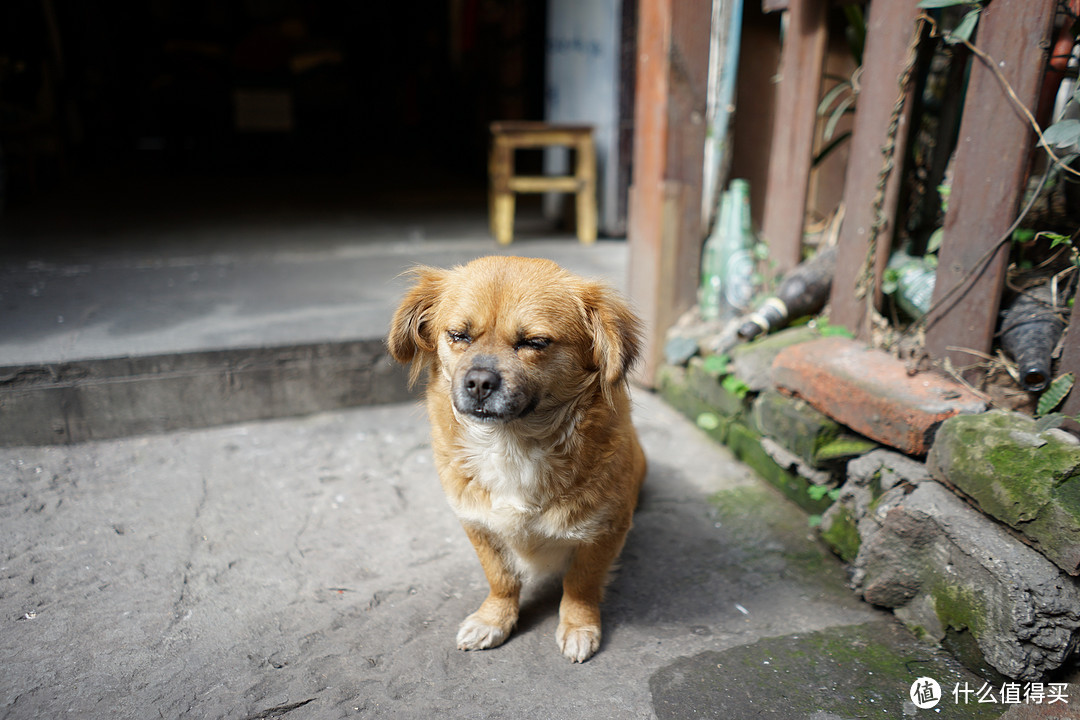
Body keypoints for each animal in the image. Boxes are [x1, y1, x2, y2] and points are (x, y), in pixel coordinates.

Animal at [386, 254, 643, 664]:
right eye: (458, 335)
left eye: (534, 342)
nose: (478, 382)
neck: (511, 444)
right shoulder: (477, 523)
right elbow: (501, 577)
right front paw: (494, 619)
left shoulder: (606, 529)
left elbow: (581, 582)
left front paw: (578, 625)